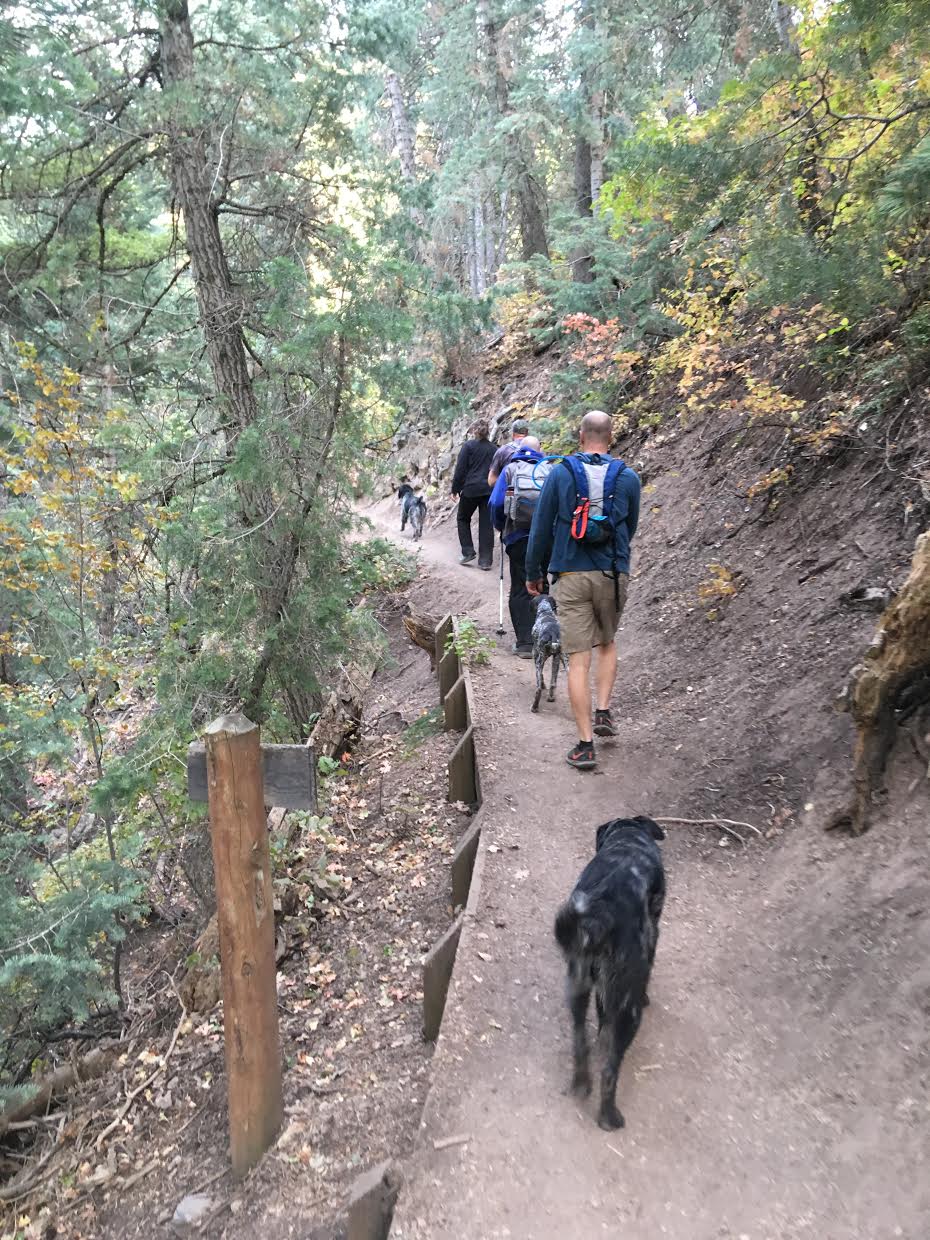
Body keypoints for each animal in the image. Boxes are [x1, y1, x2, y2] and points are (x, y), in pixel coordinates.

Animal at [558, 818, 664, 1130]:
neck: (627, 839)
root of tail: (600, 917)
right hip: (629, 1013)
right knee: (610, 1070)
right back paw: (609, 1116)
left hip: (577, 988)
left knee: (580, 1042)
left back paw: (581, 1084)